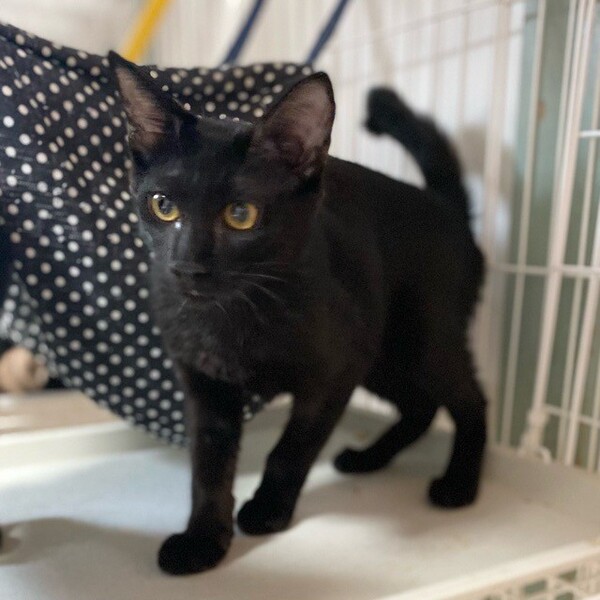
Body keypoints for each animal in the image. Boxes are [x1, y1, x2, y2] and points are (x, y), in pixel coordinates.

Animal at [109, 52, 487, 576]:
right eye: (163, 206)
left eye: (241, 215)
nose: (186, 266)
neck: (234, 315)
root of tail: (446, 209)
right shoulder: (206, 385)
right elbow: (208, 465)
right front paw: (203, 540)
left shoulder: (335, 372)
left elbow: (291, 449)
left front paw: (268, 510)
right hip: (383, 358)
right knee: (420, 406)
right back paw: (367, 459)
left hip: (421, 343)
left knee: (471, 401)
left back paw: (459, 484)